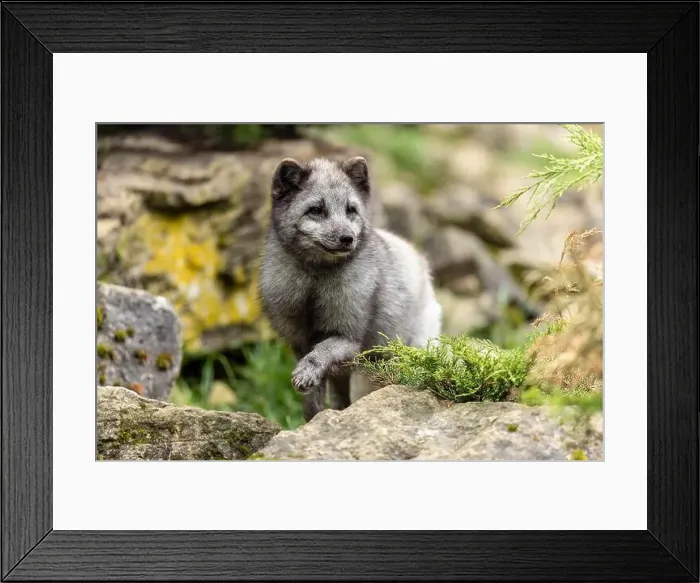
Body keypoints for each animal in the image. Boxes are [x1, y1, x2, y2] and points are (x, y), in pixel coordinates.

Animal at [259, 156, 442, 422]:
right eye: (316, 210)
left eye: (351, 210)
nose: (347, 238)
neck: (315, 282)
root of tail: (418, 257)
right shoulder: (300, 342)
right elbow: (312, 399)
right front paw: (312, 420)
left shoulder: (348, 337)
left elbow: (320, 353)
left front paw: (306, 374)